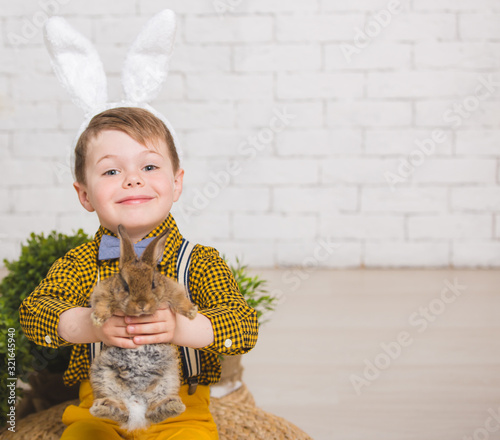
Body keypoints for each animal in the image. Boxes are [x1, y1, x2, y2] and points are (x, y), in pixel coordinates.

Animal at [89, 225, 198, 432]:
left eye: (153, 283)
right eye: (125, 285)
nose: (141, 304)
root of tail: (137, 404)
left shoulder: (170, 290)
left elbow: (180, 299)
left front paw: (192, 313)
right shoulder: (104, 292)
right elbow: (101, 304)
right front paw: (97, 320)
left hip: (168, 378)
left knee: (153, 411)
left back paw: (173, 405)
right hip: (104, 376)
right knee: (121, 410)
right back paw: (102, 408)